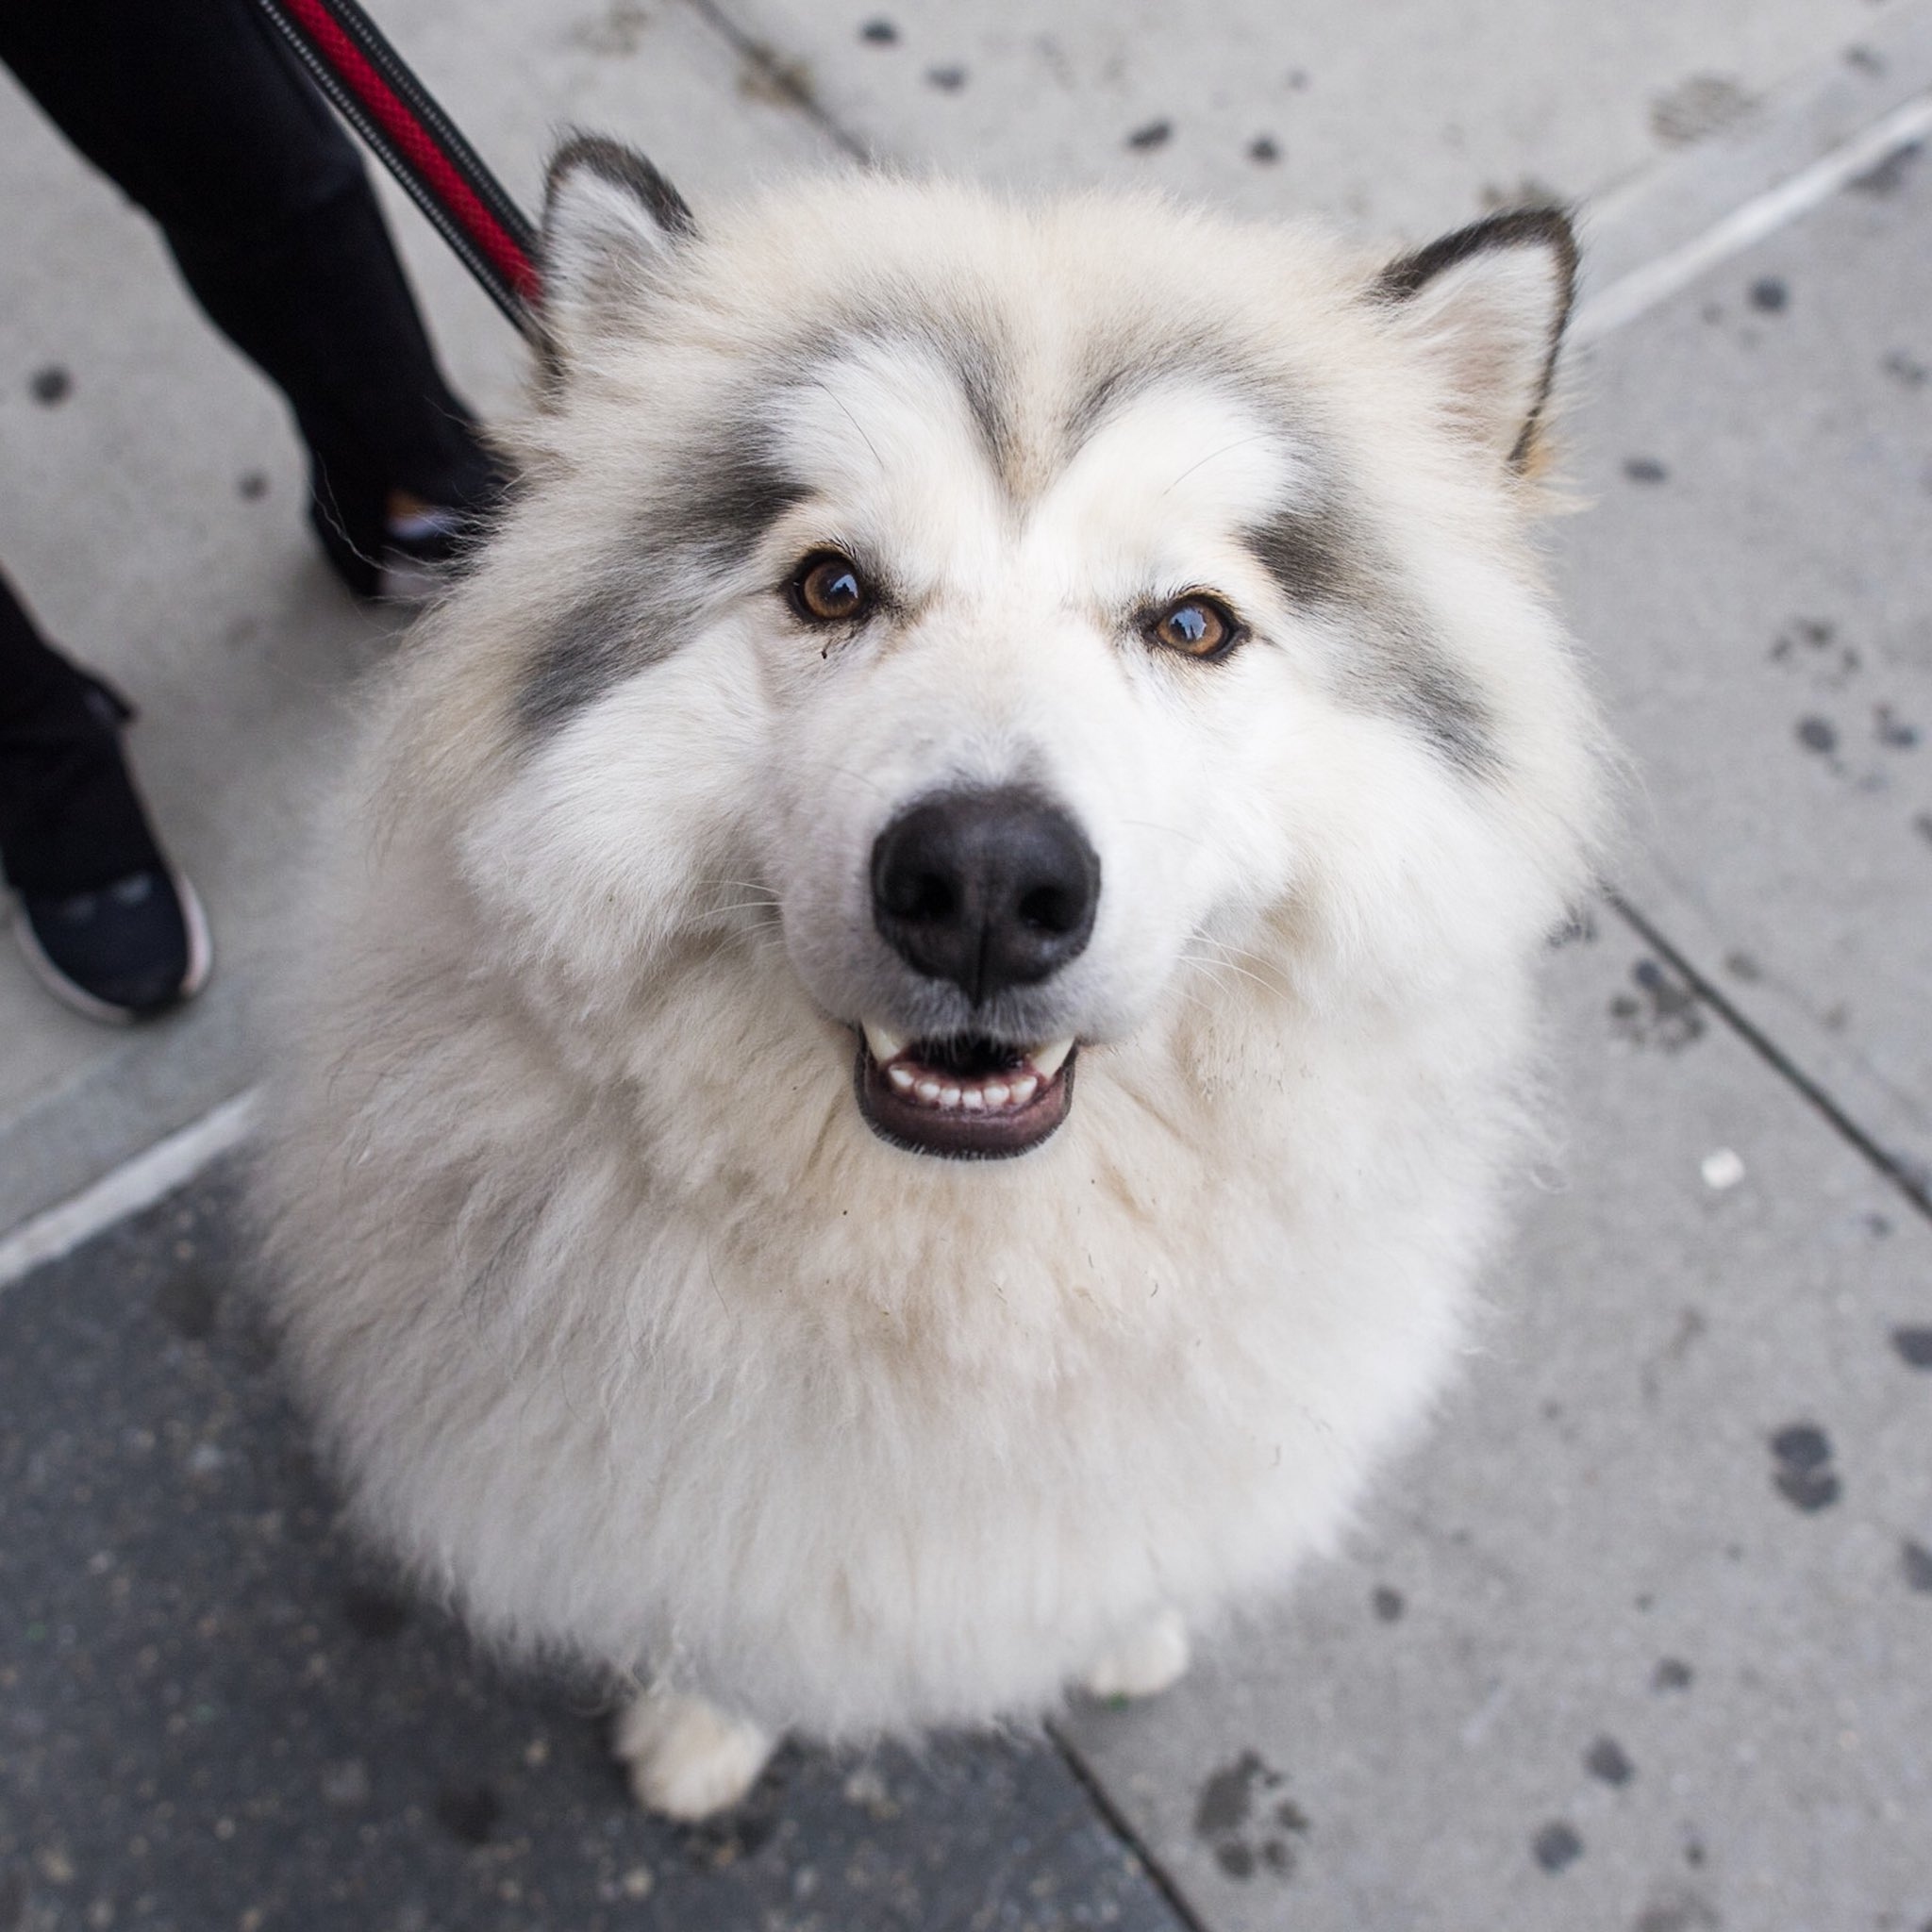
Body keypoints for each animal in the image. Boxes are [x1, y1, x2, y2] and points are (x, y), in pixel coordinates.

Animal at [260, 142, 1615, 1816]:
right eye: (833, 589)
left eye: (1192, 624)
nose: (985, 888)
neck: (964, 1260)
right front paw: (705, 1730)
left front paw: (1127, 1625)